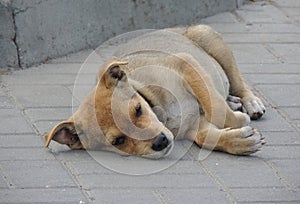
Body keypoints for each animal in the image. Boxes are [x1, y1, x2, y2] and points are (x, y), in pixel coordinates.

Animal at [44, 25, 264, 159]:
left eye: (138, 109)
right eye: (118, 141)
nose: (160, 142)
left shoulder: (186, 64)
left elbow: (215, 106)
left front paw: (238, 121)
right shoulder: (194, 125)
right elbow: (206, 137)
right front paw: (242, 141)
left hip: (209, 39)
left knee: (238, 83)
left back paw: (250, 103)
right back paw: (234, 102)